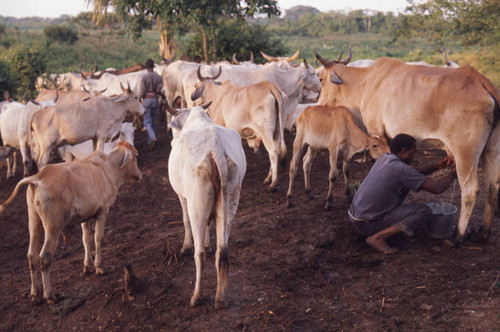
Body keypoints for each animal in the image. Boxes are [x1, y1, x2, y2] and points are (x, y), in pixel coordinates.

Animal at [168, 105, 246, 308]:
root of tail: (216, 148)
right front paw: (208, 243)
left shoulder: (182, 196)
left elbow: (185, 220)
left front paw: (185, 246)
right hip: (230, 201)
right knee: (222, 251)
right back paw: (220, 297)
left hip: (196, 205)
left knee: (200, 254)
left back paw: (196, 296)